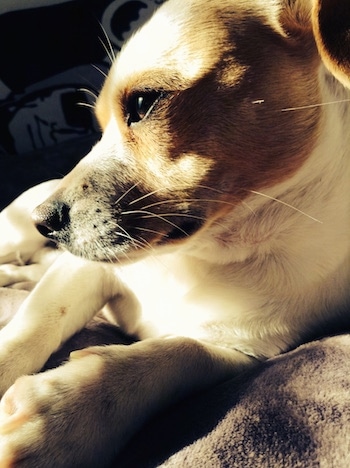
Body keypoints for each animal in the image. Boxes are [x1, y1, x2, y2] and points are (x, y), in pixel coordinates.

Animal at [0, 0, 350, 466]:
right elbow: (32, 324)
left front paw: (65, 419)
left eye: (143, 102)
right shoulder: (86, 270)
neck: (210, 250)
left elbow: (173, 357)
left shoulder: (237, 350)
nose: (43, 221)